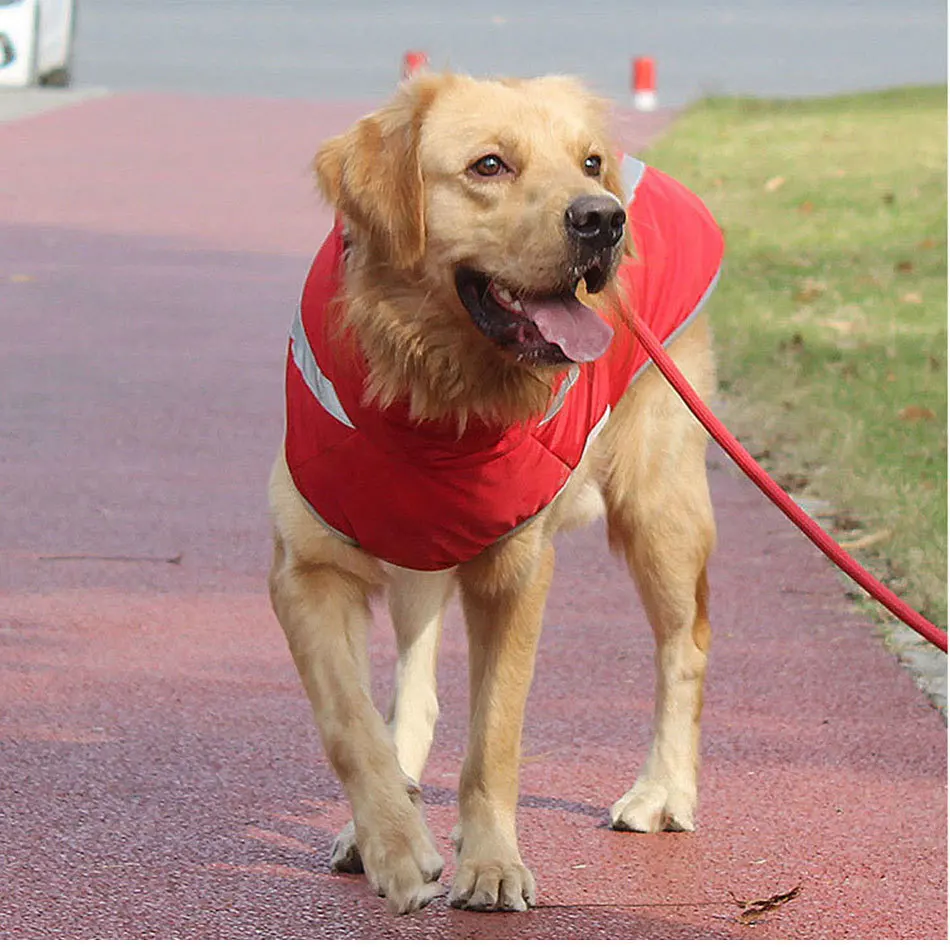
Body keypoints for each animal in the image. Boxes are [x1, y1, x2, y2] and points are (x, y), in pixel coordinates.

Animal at [268, 70, 720, 916]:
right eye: (489, 166)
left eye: (588, 161)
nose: (603, 219)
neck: (435, 395)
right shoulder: (308, 571)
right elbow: (351, 725)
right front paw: (395, 844)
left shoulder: (513, 572)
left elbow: (494, 739)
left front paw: (491, 864)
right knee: (412, 691)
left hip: (660, 505)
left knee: (686, 645)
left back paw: (663, 790)